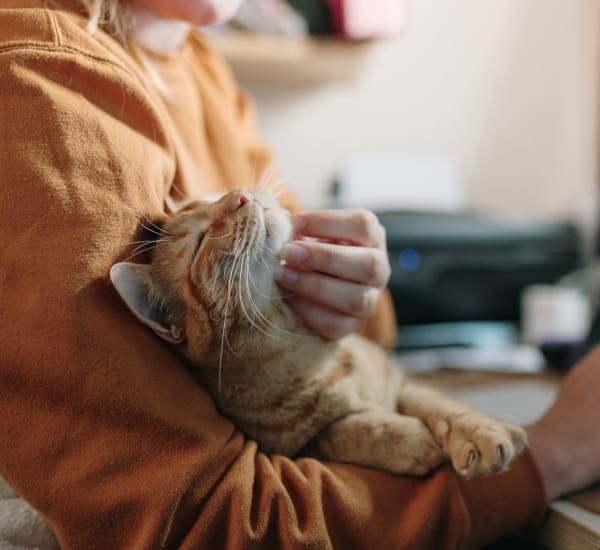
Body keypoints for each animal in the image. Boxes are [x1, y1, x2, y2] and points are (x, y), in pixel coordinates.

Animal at [111, 191, 524, 478]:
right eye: (199, 243)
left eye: (213, 198)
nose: (241, 193)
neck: (302, 350)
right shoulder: (296, 448)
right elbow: (351, 430)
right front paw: (412, 440)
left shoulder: (402, 383)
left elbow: (445, 407)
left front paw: (482, 433)